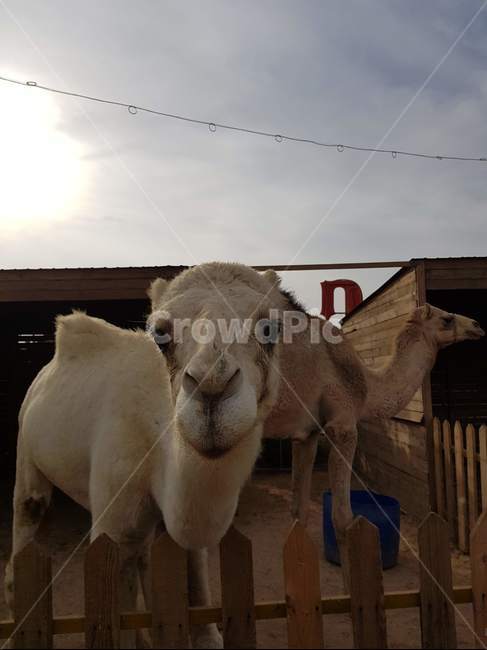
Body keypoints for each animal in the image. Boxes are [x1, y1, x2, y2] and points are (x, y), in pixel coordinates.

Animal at [5, 262, 282, 649]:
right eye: (160, 334)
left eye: (270, 327)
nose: (211, 387)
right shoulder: (116, 529)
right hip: (26, 450)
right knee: (28, 510)